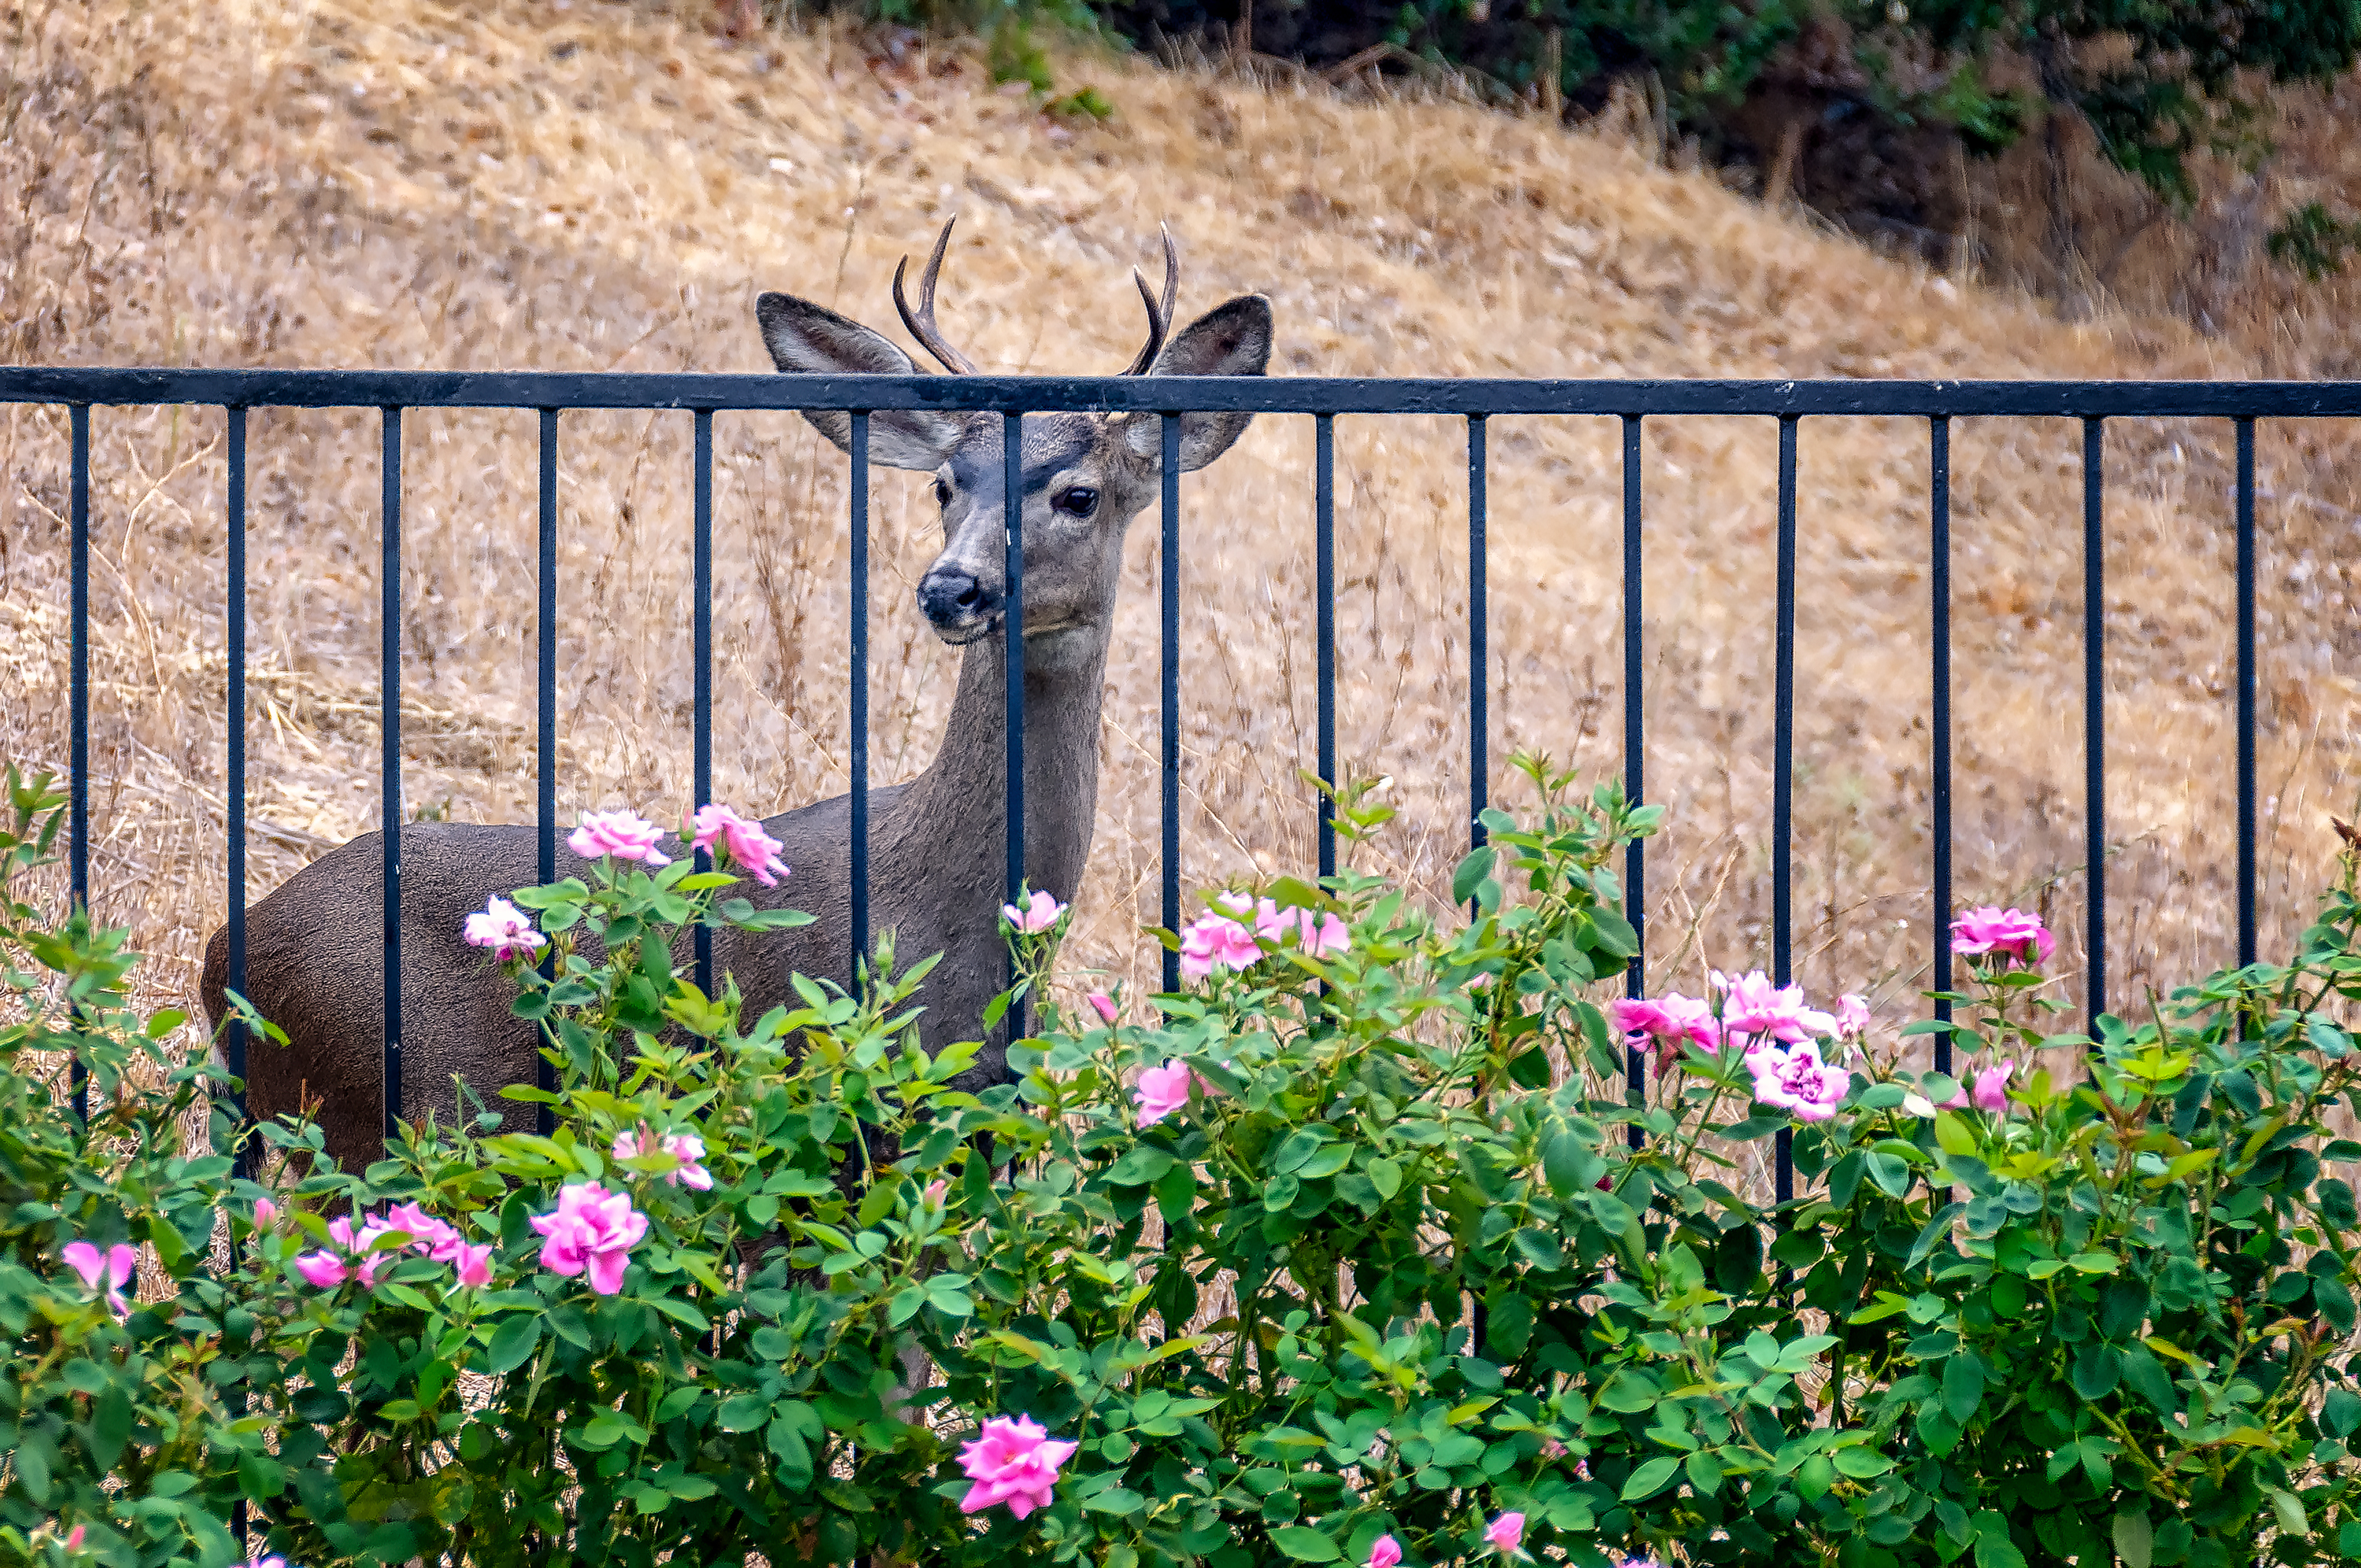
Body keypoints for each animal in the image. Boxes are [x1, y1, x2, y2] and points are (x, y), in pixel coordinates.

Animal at [203, 223, 1275, 1175]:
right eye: (943, 484)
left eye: (1080, 494)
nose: (952, 589)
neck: (949, 920)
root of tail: (222, 958)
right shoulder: (817, 1101)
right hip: (384, 1110)